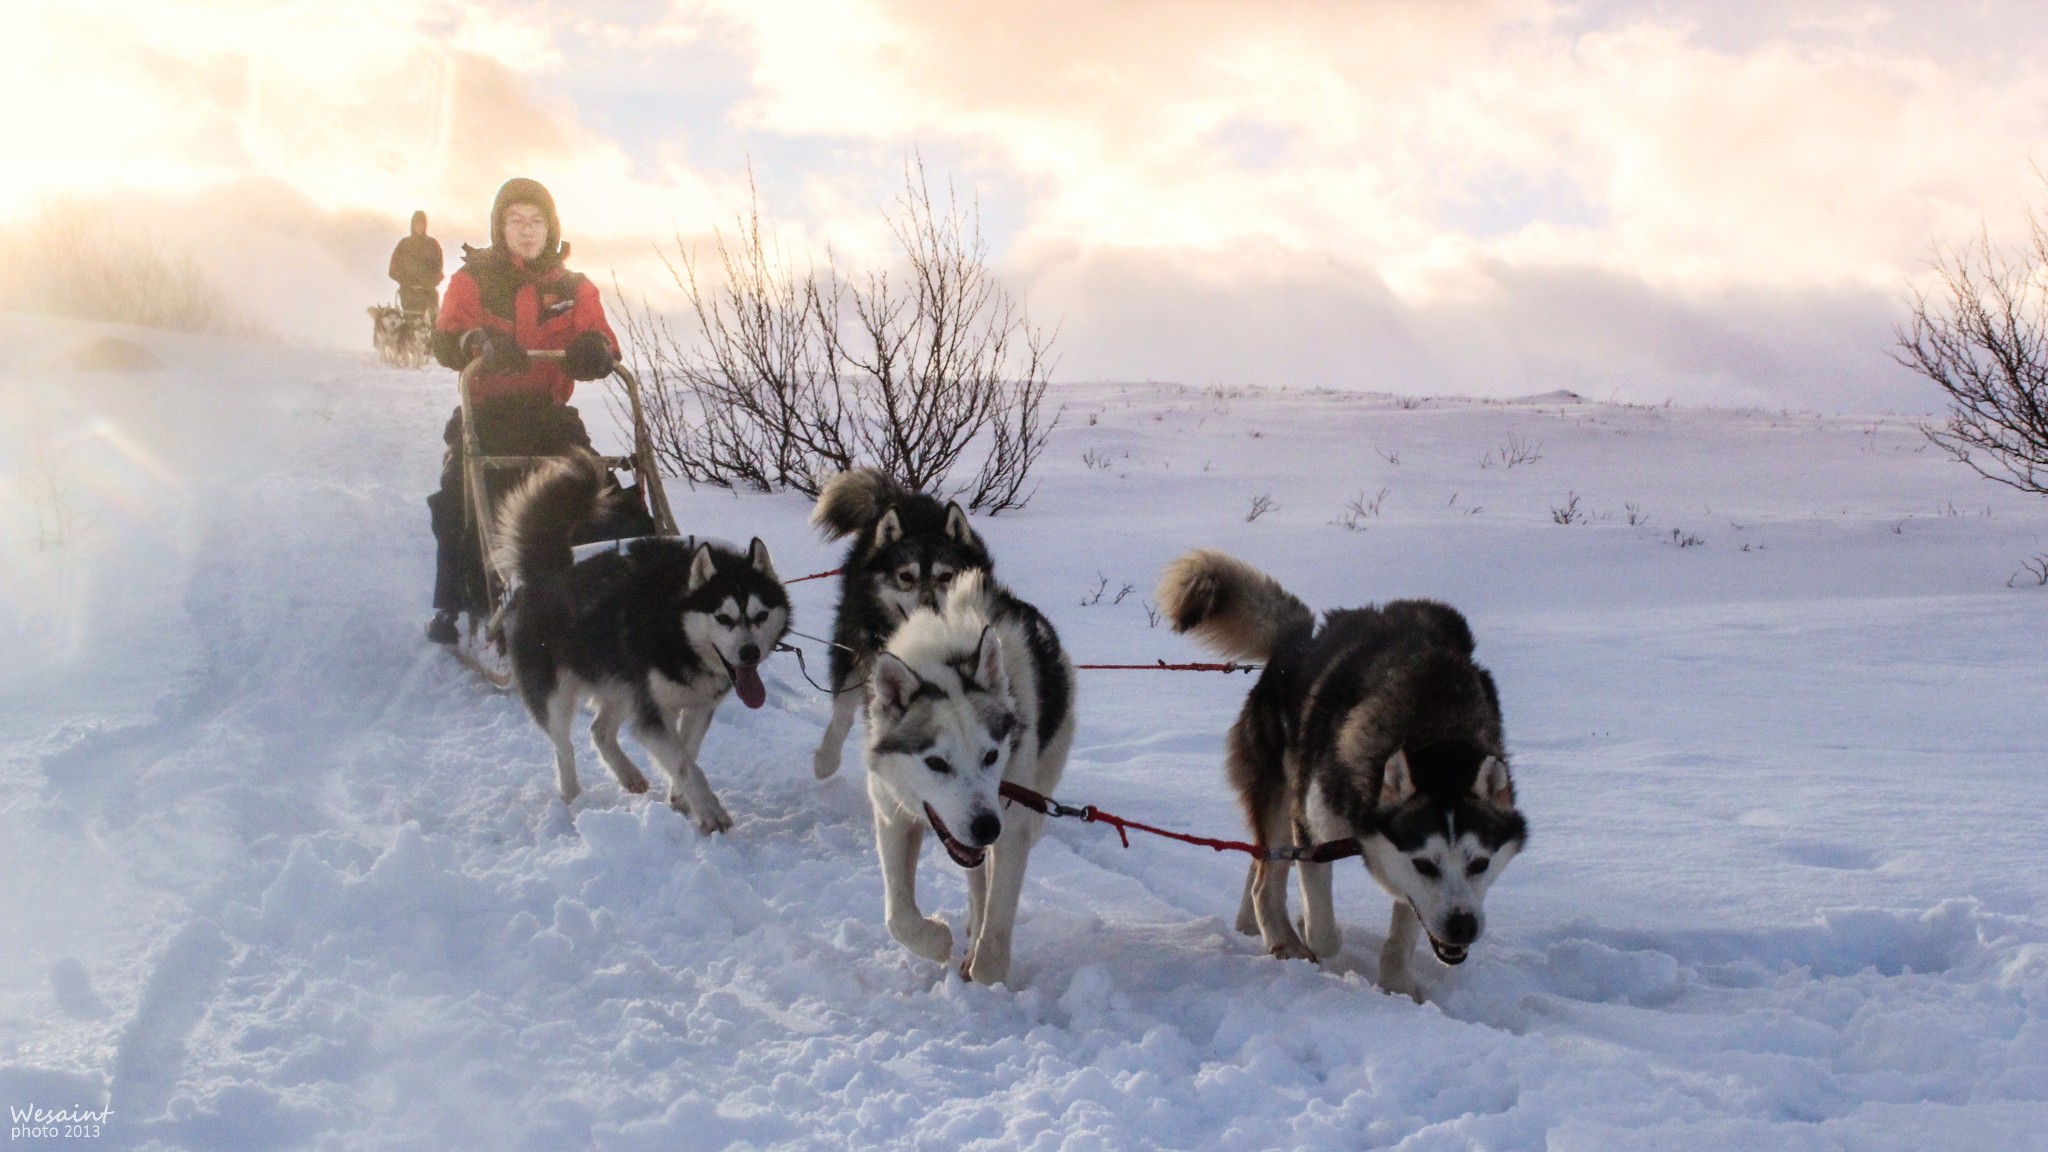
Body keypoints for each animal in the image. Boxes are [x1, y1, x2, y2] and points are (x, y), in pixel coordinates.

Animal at [491, 444, 786, 828]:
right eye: (723, 618)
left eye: (761, 615)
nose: (749, 653)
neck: (676, 631)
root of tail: (549, 574)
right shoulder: (652, 714)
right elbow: (684, 762)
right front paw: (709, 811)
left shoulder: (697, 707)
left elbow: (687, 752)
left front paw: (681, 798)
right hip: (557, 694)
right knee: (564, 746)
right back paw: (571, 795)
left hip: (620, 685)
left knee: (599, 730)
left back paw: (628, 774)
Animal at [806, 469, 991, 778]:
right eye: (906, 577)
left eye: (946, 576)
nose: (928, 606)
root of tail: (901, 498)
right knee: (843, 709)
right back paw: (826, 761)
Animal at [860, 569, 1073, 983]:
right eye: (936, 763)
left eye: (991, 756)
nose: (987, 827)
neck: (947, 659)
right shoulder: (892, 817)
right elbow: (898, 917)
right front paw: (937, 940)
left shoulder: (1013, 830)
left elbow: (998, 926)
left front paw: (986, 976)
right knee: (976, 882)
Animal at [1155, 549, 1523, 996]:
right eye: (1425, 865)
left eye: (1480, 864)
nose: (1462, 926)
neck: (1436, 737)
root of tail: (1298, 643)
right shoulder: (1313, 830)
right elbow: (1323, 931)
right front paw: (1307, 932)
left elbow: (1404, 928)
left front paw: (1397, 985)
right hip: (1283, 797)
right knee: (1266, 883)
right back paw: (1284, 941)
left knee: (1260, 864)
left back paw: (1251, 926)